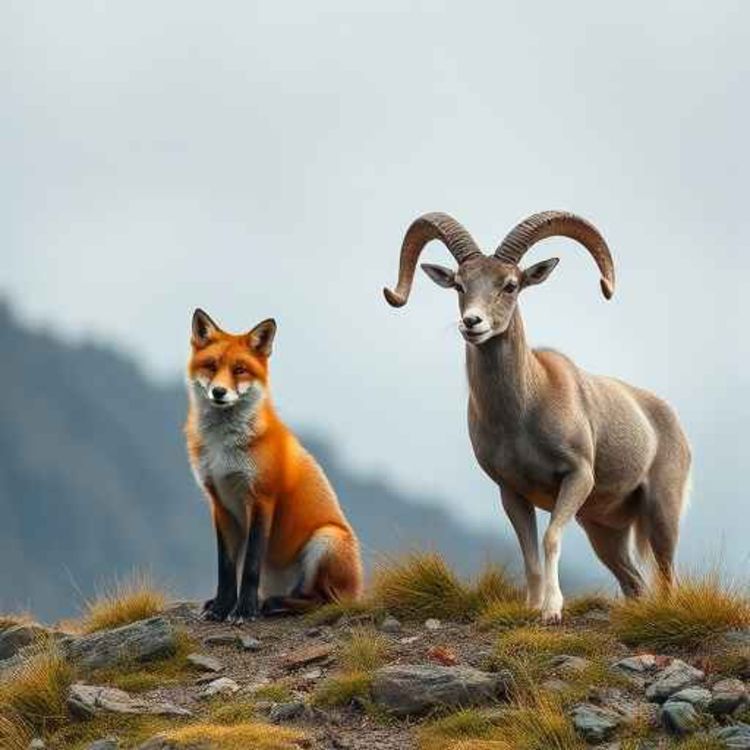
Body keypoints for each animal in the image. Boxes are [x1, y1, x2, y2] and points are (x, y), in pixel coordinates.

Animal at [185, 309, 364, 622]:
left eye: (240, 370)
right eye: (211, 365)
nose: (218, 392)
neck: (223, 449)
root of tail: (358, 591)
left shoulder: (262, 498)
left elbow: (250, 565)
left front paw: (244, 611)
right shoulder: (220, 503)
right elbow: (226, 569)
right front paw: (221, 608)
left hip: (326, 539)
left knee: (323, 602)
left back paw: (273, 605)